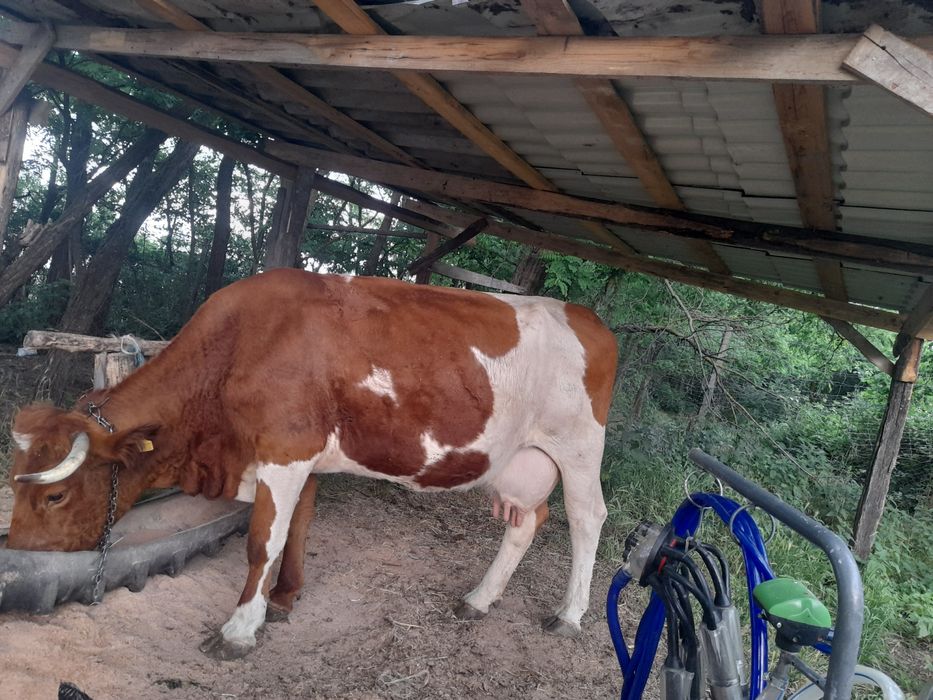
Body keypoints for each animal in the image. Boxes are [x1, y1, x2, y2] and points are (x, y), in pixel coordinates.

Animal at [6, 269, 617, 660]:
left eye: (54, 495)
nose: (15, 555)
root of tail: (585, 315)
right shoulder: (301, 456)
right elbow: (299, 524)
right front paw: (283, 599)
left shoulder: (285, 448)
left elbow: (263, 541)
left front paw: (239, 629)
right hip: (518, 461)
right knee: (526, 523)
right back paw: (478, 600)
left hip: (579, 447)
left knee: (587, 519)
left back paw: (568, 616)